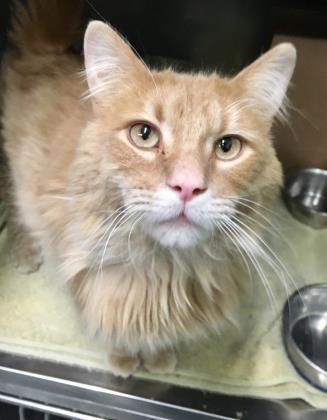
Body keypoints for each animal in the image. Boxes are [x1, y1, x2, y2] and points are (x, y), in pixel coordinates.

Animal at [0, 0, 298, 374]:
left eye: (227, 146)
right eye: (144, 134)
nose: (187, 186)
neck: (164, 273)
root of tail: (48, 51)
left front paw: (159, 357)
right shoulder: (88, 279)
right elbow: (112, 324)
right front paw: (123, 358)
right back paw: (25, 252)